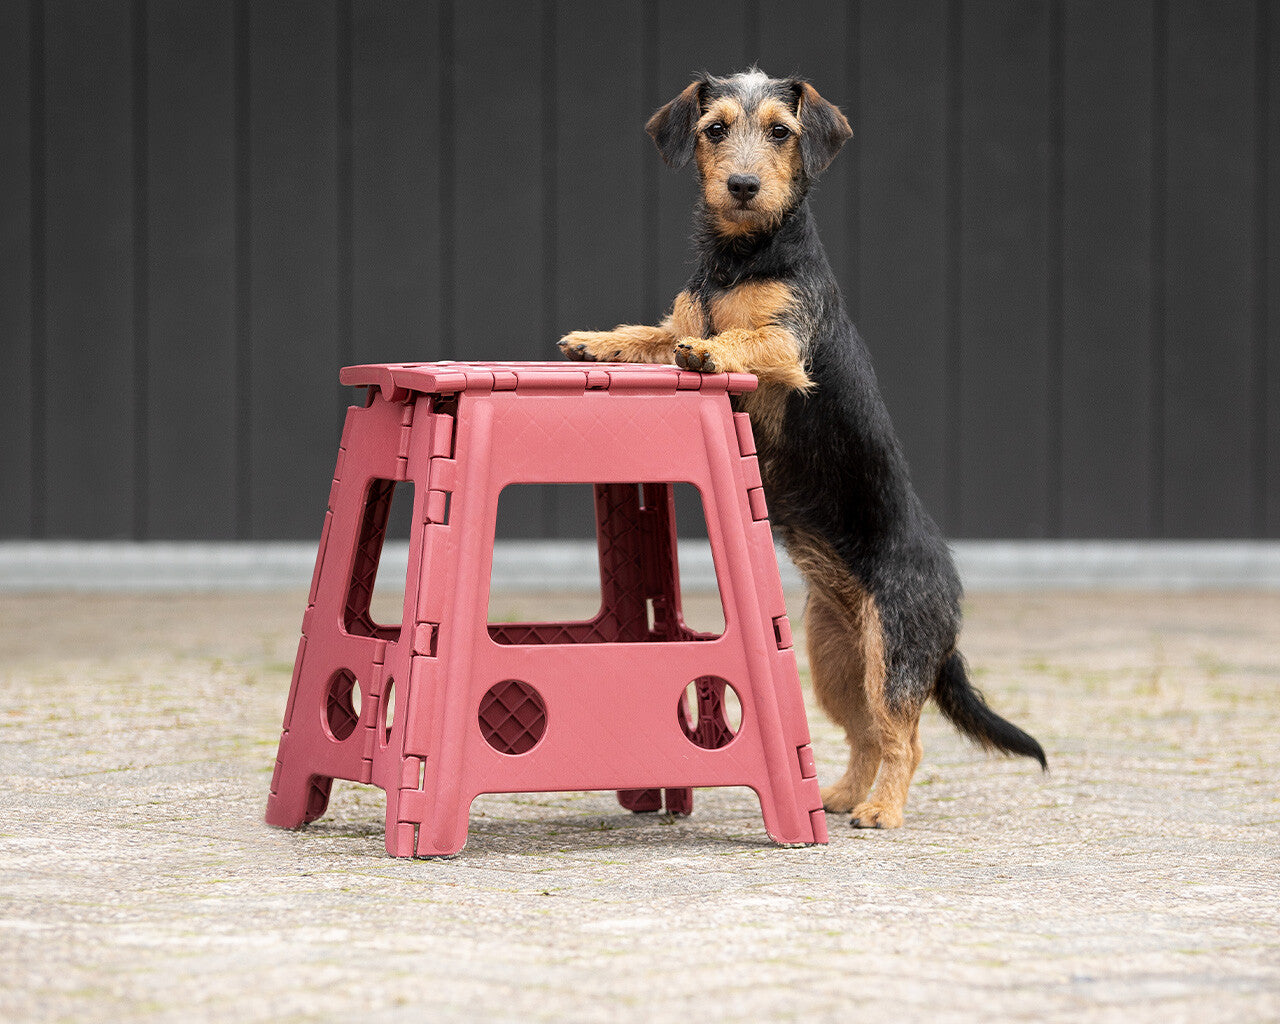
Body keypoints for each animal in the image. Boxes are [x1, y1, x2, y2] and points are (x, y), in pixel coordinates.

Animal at [555, 70, 1044, 824]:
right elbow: (656, 333)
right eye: (716, 130)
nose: (744, 185)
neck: (741, 256)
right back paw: (843, 796)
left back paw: (882, 810)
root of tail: (951, 599)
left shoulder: (786, 343)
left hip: (894, 650)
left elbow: (742, 338)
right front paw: (597, 341)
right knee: (865, 733)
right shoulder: (681, 315)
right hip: (835, 657)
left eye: (781, 131)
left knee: (905, 738)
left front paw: (711, 350)